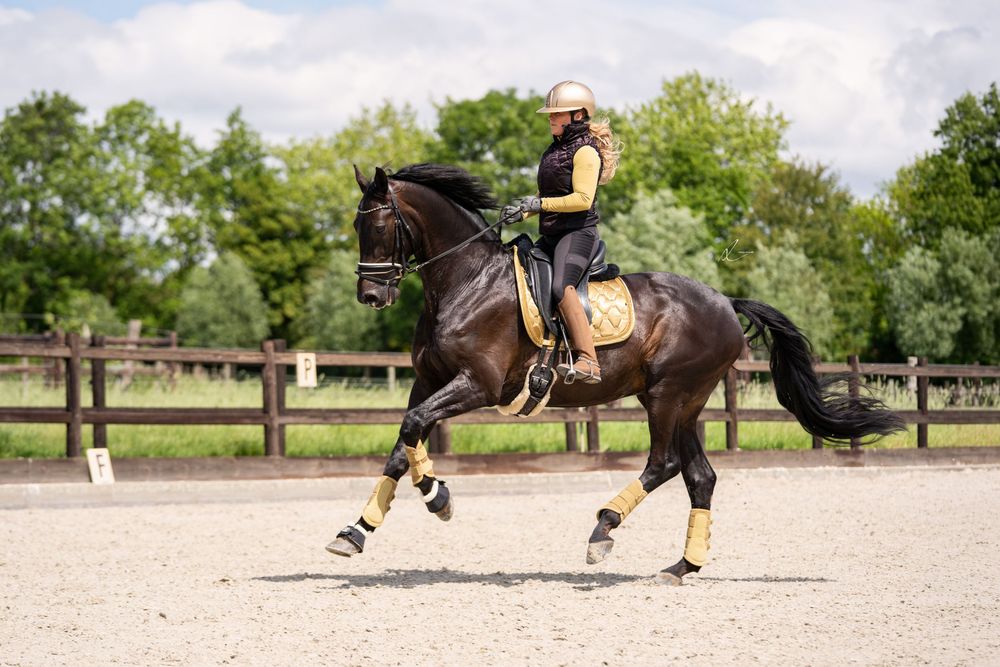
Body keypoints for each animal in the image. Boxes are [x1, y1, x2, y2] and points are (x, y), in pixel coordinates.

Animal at [326, 163, 904, 585]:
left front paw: (438, 499)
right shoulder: (428, 381)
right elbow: (403, 443)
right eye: (355, 225)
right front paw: (358, 531)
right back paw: (682, 566)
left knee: (663, 463)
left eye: (379, 225)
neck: (466, 280)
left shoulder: (478, 385)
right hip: (684, 403)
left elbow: (413, 428)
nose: (371, 295)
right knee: (699, 476)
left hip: (669, 395)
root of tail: (725, 302)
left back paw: (602, 530)